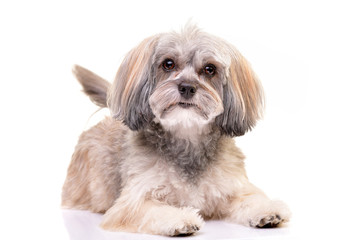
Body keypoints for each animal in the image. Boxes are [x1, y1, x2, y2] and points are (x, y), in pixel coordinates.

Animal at [62, 24, 290, 236]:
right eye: (168, 64)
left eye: (209, 69)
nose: (187, 87)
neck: (187, 141)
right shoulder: (131, 203)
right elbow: (154, 209)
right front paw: (179, 219)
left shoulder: (233, 187)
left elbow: (249, 198)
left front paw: (266, 209)